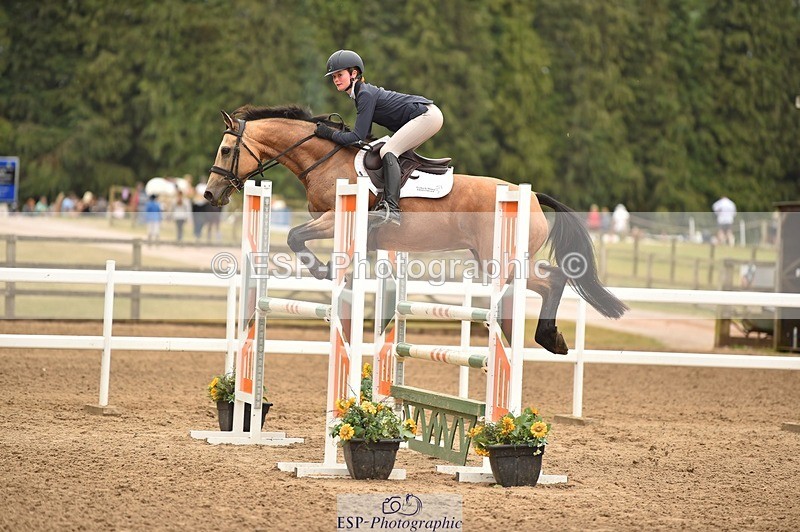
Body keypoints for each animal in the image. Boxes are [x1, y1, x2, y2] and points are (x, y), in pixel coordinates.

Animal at [204, 104, 627, 354]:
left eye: (225, 150)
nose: (209, 193)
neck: (323, 159)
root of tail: (533, 197)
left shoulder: (337, 218)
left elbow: (295, 236)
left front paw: (323, 272)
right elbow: (301, 240)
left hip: (499, 260)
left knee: (551, 280)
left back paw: (543, 339)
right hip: (495, 260)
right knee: (550, 280)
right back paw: (546, 339)